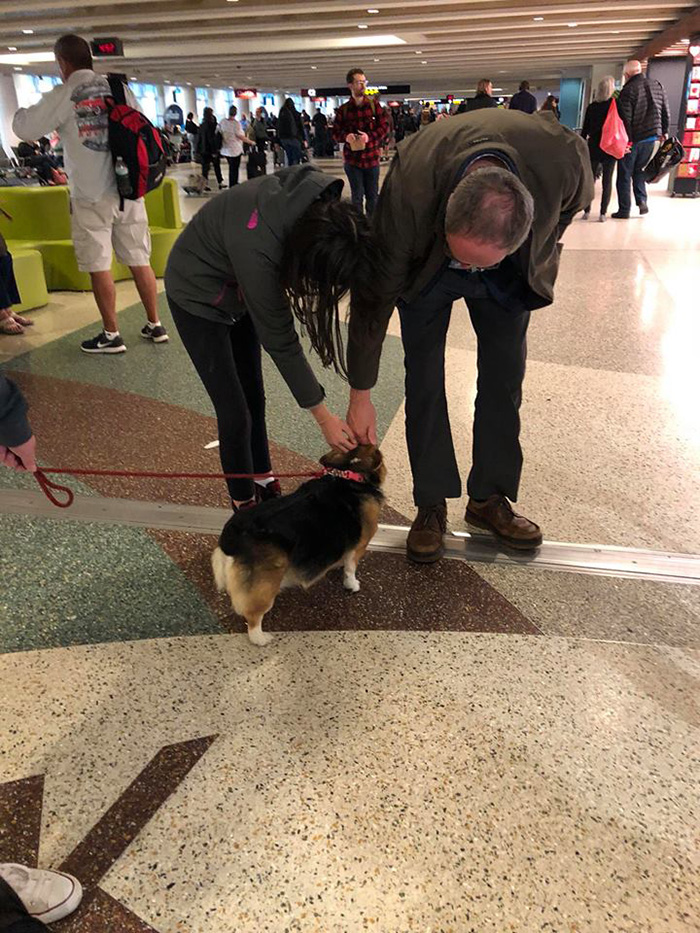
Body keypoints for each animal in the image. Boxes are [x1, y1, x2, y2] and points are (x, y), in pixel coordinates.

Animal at [213, 442, 388, 644]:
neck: (349, 474)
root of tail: (232, 538)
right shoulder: (359, 545)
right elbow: (351, 569)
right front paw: (352, 584)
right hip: (267, 584)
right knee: (253, 616)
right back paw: (262, 638)